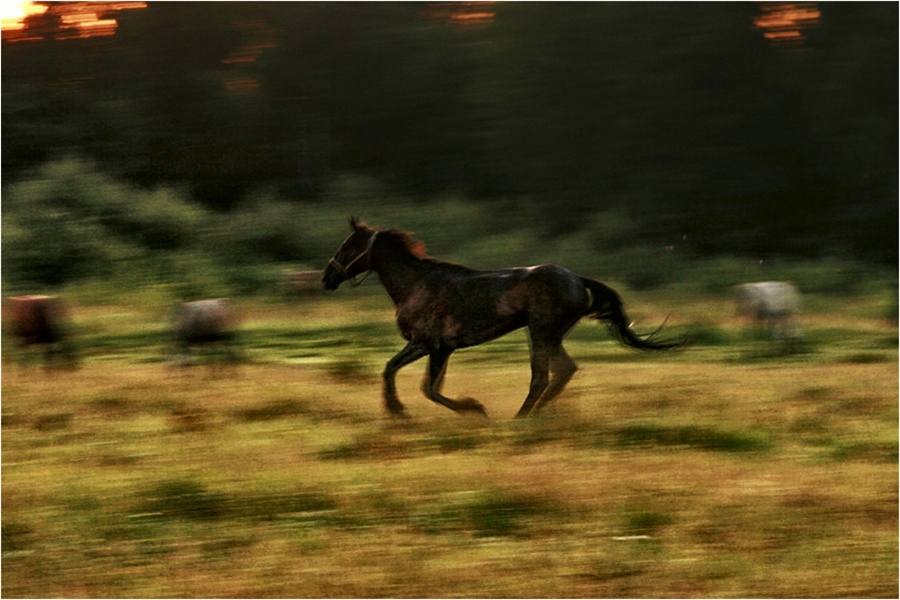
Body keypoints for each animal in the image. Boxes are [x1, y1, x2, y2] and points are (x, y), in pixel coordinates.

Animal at [324, 216, 684, 418]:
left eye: (347, 245)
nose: (327, 277)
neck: (415, 283)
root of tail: (578, 280)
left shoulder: (425, 343)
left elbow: (395, 372)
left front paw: (399, 411)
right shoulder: (443, 348)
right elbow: (430, 388)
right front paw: (473, 408)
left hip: (541, 331)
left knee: (542, 375)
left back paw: (521, 417)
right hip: (548, 334)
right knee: (563, 370)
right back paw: (537, 414)